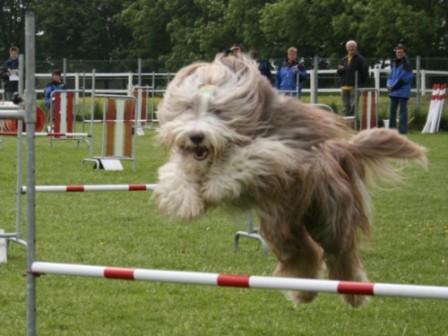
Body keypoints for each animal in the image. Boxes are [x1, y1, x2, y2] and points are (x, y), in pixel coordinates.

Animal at [155, 52, 428, 308]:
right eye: (188, 107)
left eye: (218, 111)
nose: (196, 136)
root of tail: (340, 152)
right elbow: (176, 174)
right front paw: (186, 202)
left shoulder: (284, 150)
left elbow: (250, 157)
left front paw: (215, 186)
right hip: (280, 224)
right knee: (304, 253)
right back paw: (303, 292)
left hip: (329, 213)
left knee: (339, 251)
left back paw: (354, 294)